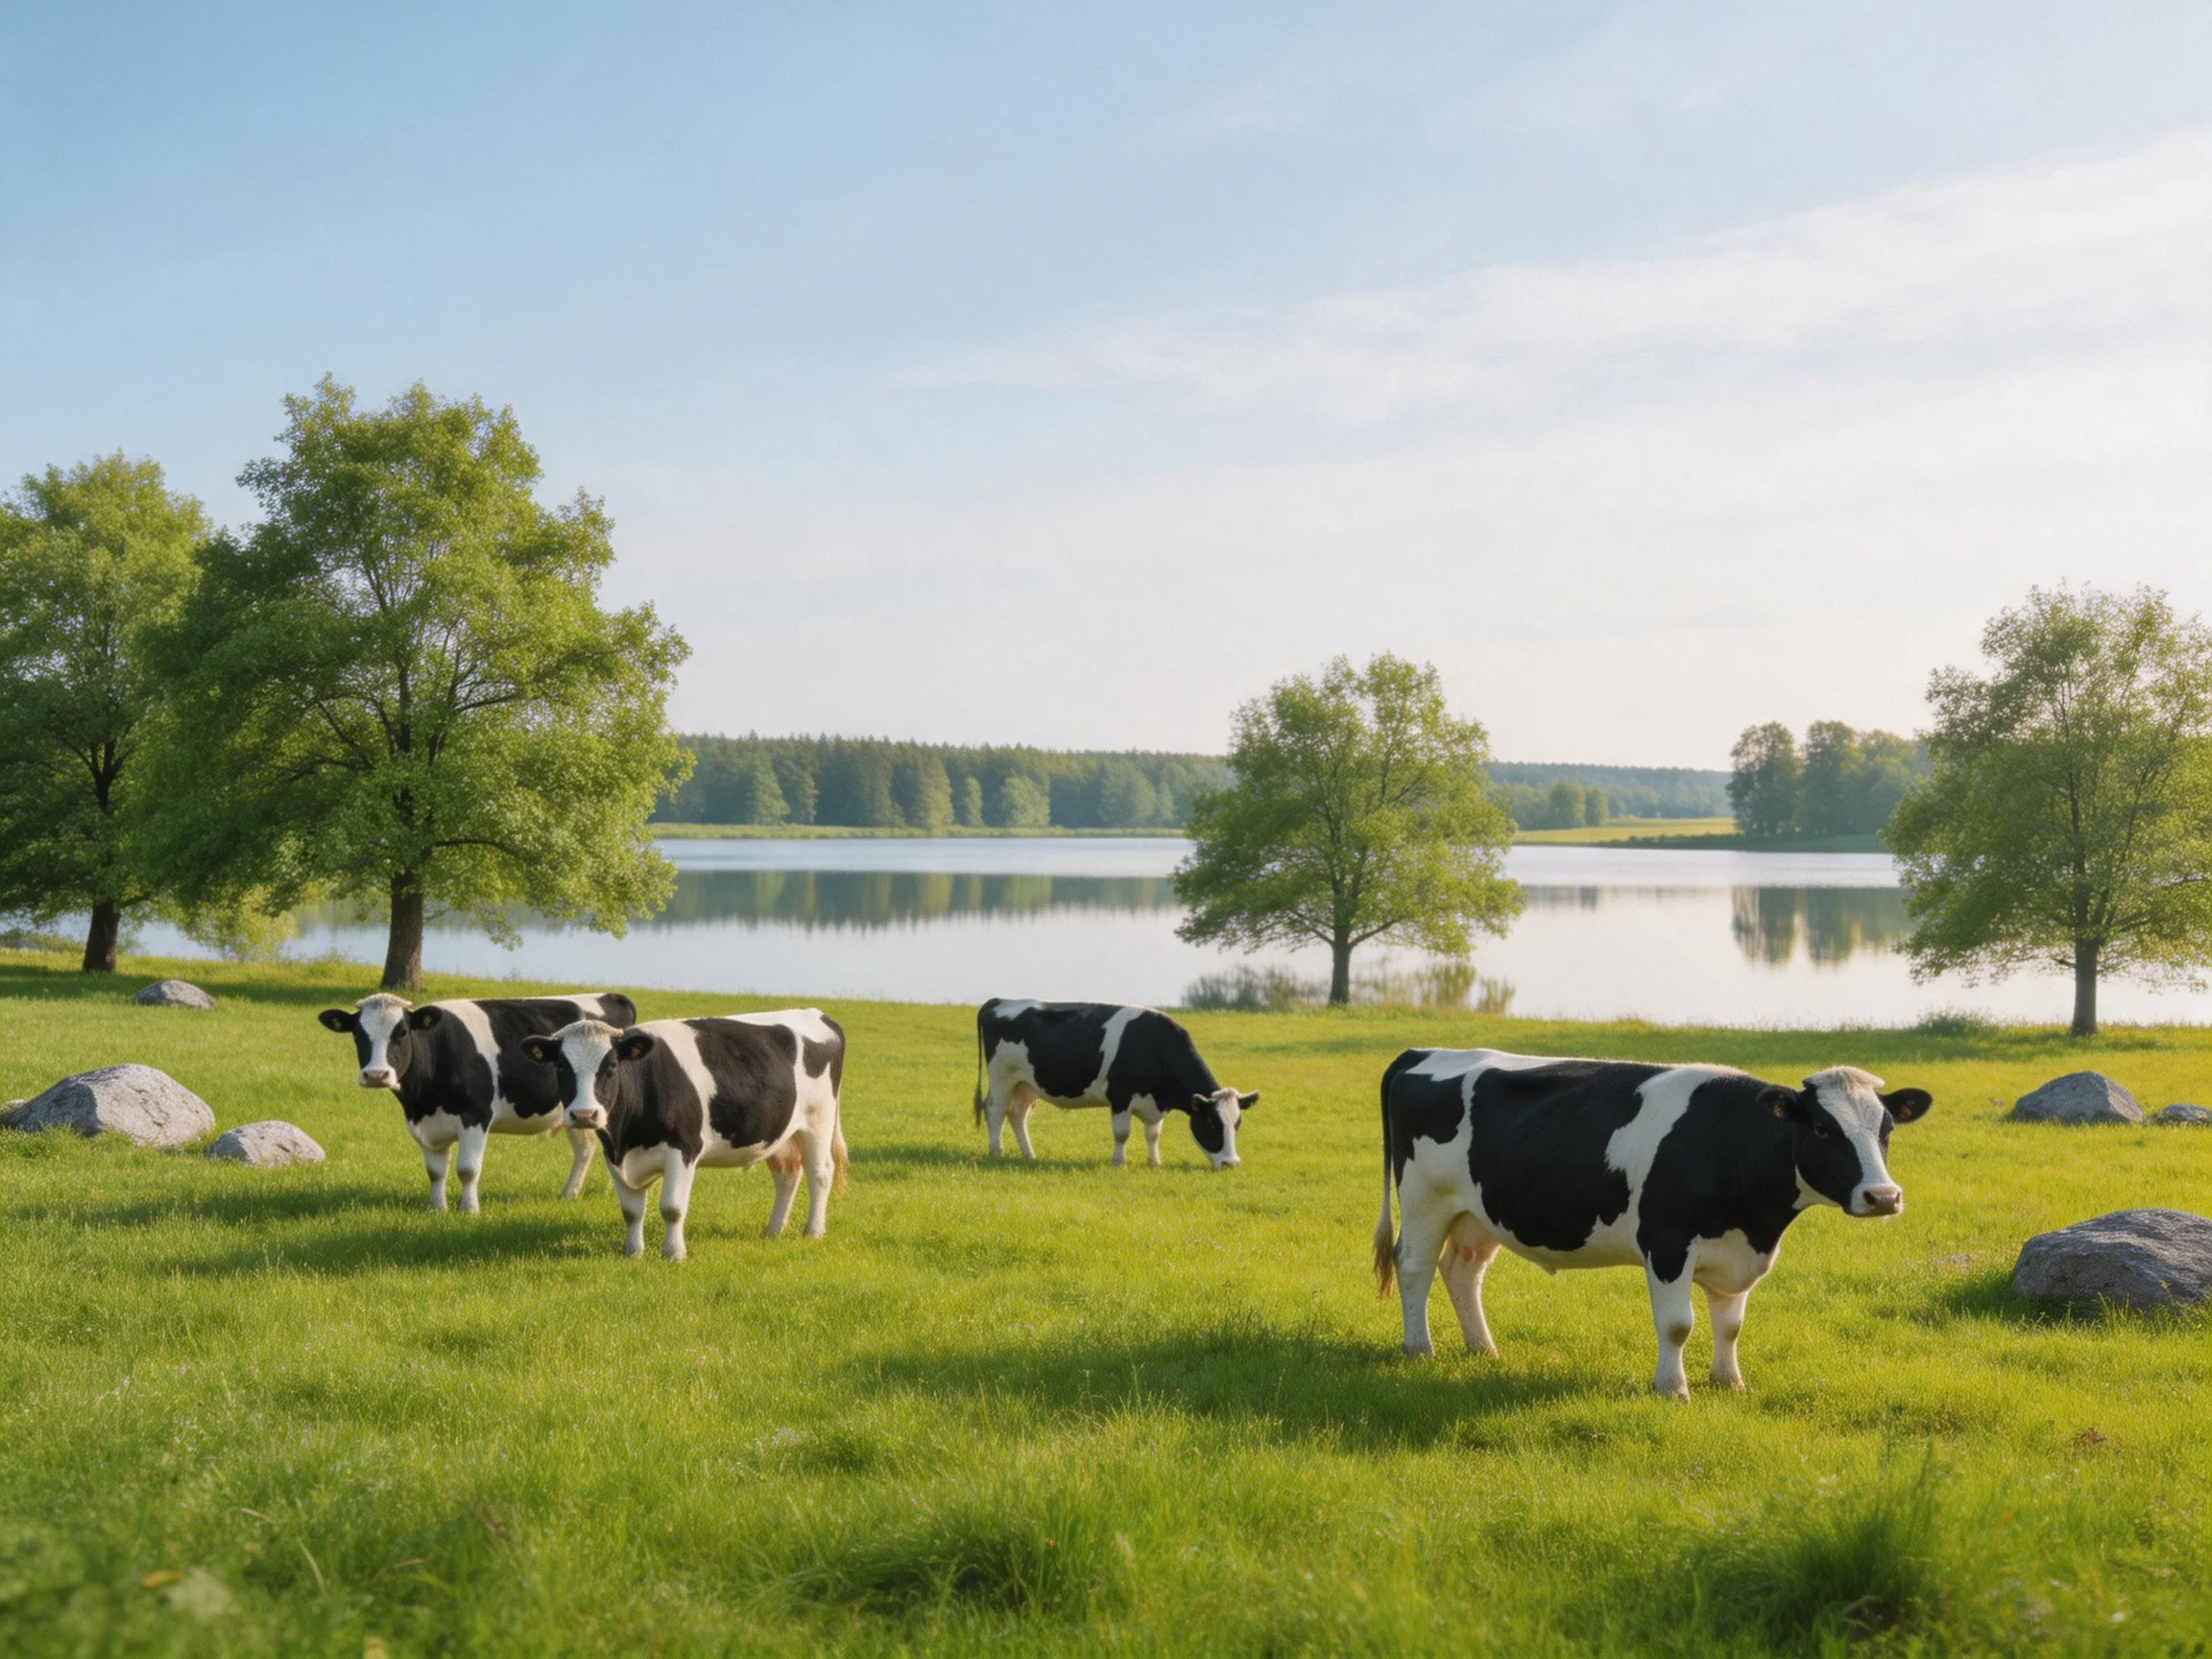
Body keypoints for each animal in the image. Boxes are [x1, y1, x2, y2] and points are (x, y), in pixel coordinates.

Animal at [318, 992, 638, 1213]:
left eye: (403, 1032)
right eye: (357, 1034)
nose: (376, 1075)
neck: (424, 1100)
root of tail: (610, 995)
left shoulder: (476, 1115)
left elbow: (467, 1169)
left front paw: (468, 1209)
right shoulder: (423, 1122)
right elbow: (435, 1171)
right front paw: (436, 1208)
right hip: (575, 1113)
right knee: (584, 1149)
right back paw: (569, 1194)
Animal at [522, 1009, 847, 1260]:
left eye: (612, 1065)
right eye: (560, 1066)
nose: (585, 1114)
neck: (627, 1137)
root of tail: (816, 1013)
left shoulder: (684, 1147)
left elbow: (672, 1208)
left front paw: (674, 1254)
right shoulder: (613, 1153)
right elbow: (631, 1211)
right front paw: (633, 1252)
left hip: (818, 1122)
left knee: (820, 1173)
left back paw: (813, 1231)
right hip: (780, 1133)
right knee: (787, 1175)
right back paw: (773, 1230)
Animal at [972, 999, 1257, 1170]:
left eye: (1237, 1124)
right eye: (1211, 1123)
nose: (1231, 1163)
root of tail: (999, 1001)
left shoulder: (1155, 1105)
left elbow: (1153, 1134)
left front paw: (1154, 1162)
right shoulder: (1120, 1095)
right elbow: (1122, 1133)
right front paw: (1119, 1162)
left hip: (1027, 1084)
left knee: (1017, 1114)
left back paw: (1029, 1154)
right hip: (1002, 1076)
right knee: (995, 1110)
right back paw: (996, 1151)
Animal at [1372, 1049, 1931, 1398]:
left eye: (1886, 1129)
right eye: (1820, 1128)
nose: (1883, 1196)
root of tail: (1421, 1053)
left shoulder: (1738, 1251)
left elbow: (1730, 1325)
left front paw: (1730, 1383)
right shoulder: (1667, 1243)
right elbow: (1678, 1324)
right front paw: (1673, 1388)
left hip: (1477, 1213)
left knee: (1462, 1270)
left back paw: (1483, 1350)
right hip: (1424, 1198)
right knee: (1415, 1266)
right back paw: (1420, 1349)